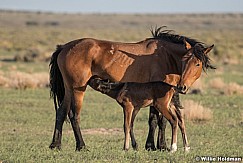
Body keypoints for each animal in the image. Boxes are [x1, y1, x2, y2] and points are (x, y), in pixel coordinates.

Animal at [49, 27, 215, 150]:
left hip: (69, 89)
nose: (182, 86)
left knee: (61, 113)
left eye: (197, 63)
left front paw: (155, 145)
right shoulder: (157, 94)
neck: (165, 56)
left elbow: (158, 120)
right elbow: (157, 120)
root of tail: (64, 47)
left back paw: (55, 145)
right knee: (74, 116)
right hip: (78, 89)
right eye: (184, 60)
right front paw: (156, 146)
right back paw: (81, 146)